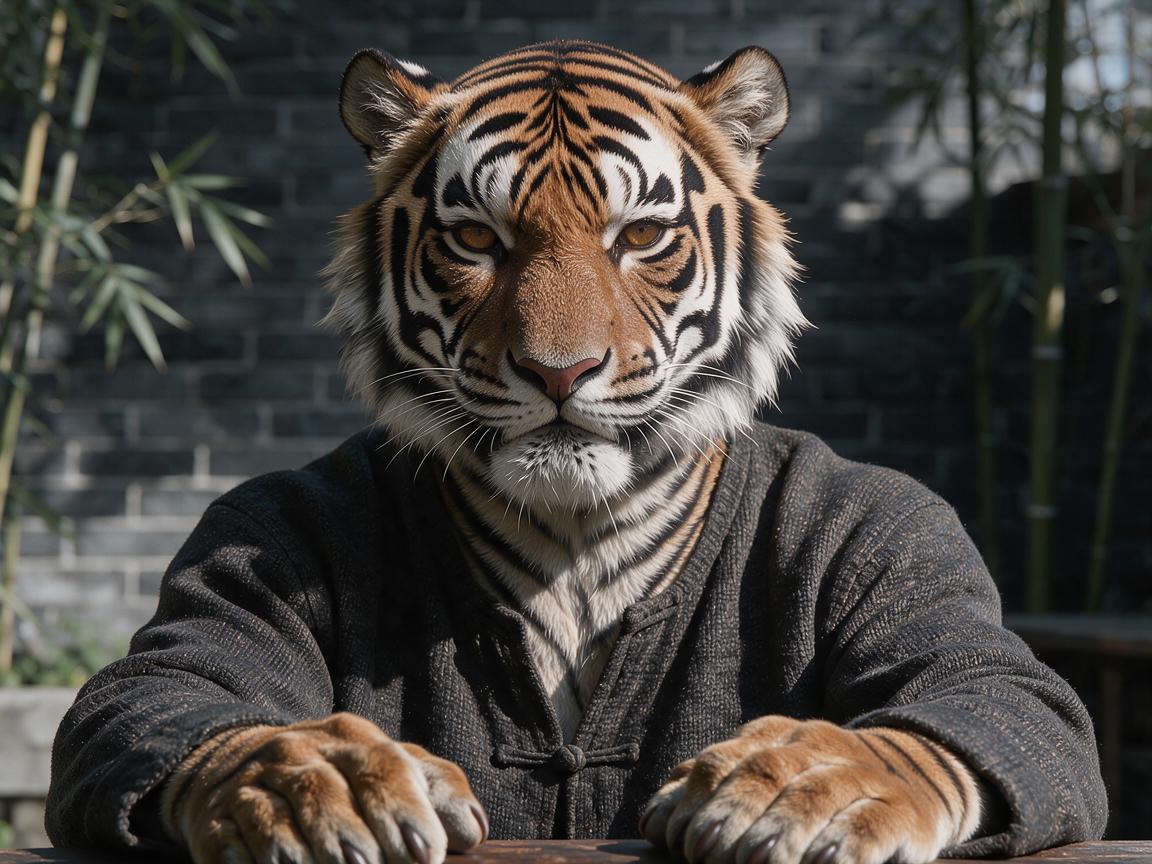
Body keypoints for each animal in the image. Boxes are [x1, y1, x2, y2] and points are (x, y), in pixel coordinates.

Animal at [157, 40, 993, 864]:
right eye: (476, 238)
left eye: (641, 236)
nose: (559, 371)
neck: (576, 534)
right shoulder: (250, 535)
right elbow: (185, 681)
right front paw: (325, 779)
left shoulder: (903, 538)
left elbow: (964, 688)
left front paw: (808, 780)